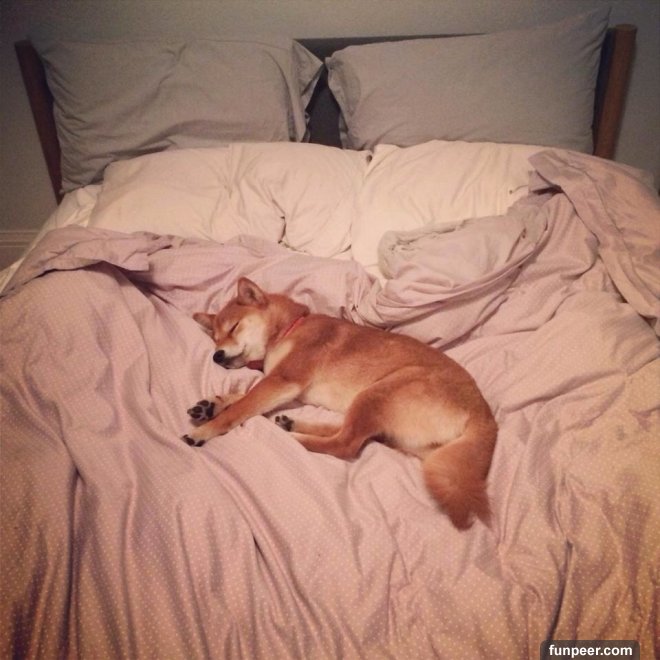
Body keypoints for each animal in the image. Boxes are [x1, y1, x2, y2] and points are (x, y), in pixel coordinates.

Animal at [184, 277, 497, 529]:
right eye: (215, 338)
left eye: (233, 328)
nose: (216, 356)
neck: (289, 329)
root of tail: (485, 416)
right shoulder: (283, 387)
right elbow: (242, 396)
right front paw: (212, 405)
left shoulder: (285, 380)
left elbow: (241, 406)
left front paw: (206, 429)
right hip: (391, 427)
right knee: (349, 434)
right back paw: (291, 424)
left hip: (379, 391)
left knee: (345, 444)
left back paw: (296, 438)